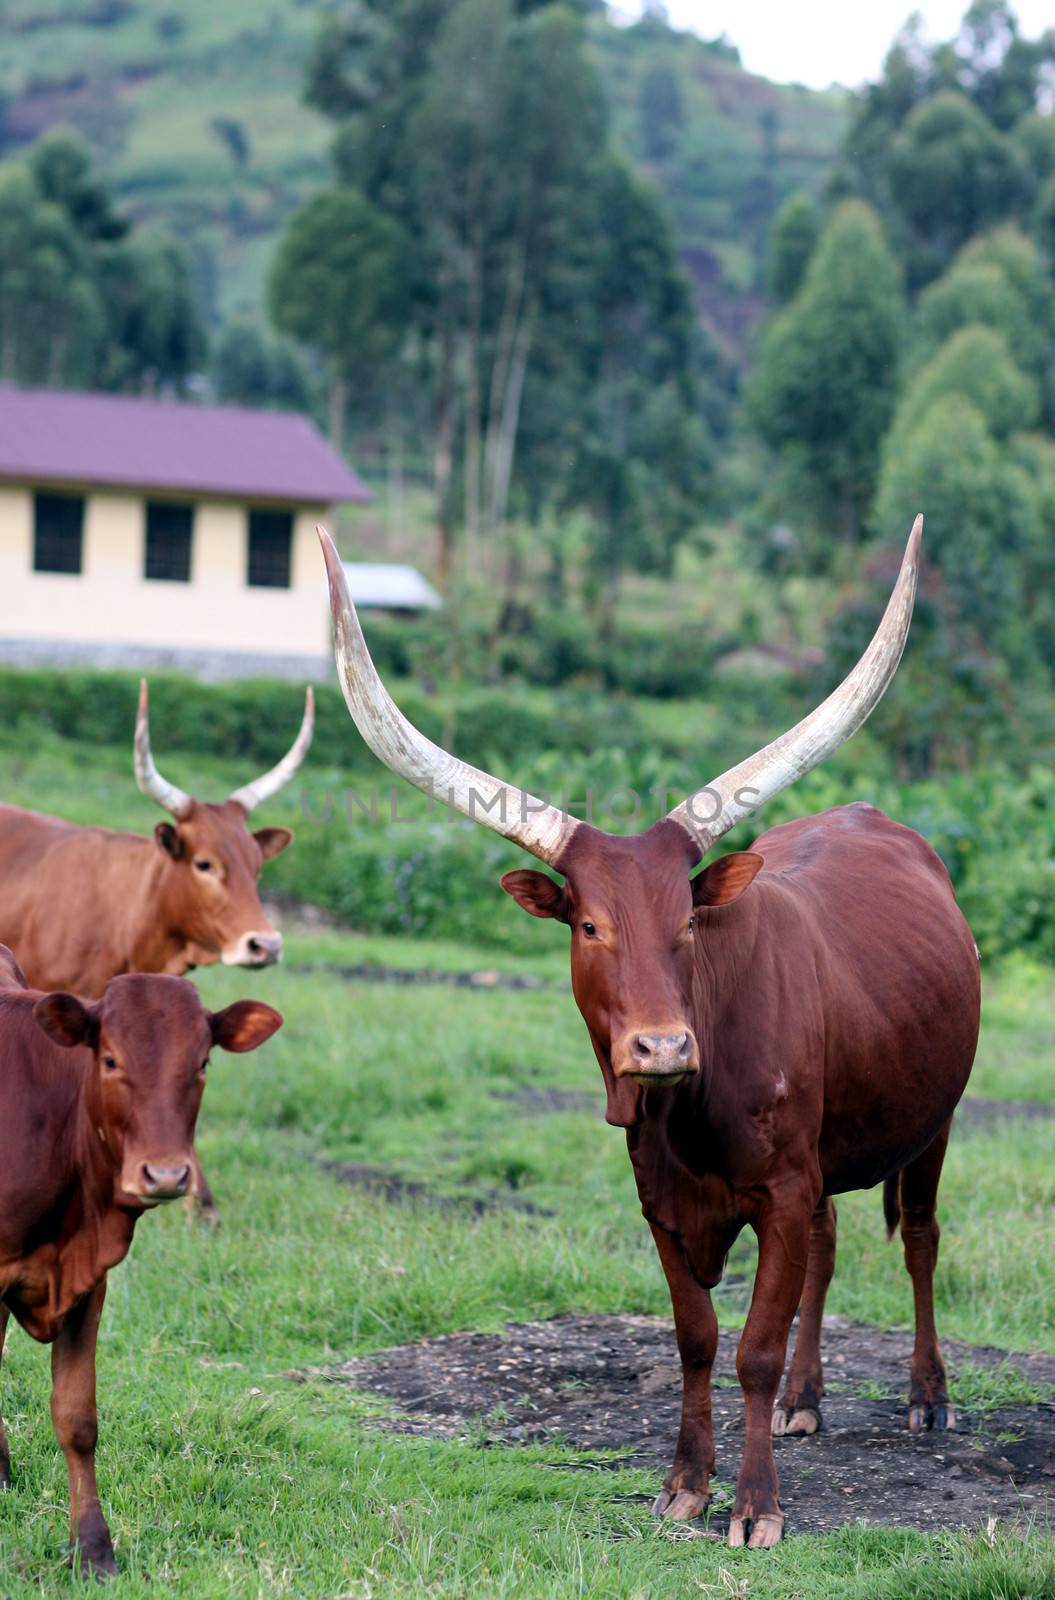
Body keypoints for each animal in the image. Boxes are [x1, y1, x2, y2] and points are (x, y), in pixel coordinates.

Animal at [0, 934, 283, 1574]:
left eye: (202, 1063)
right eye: (110, 1060)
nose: (167, 1174)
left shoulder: (85, 1282)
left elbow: (77, 1417)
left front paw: (93, 1548)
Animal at [320, 521, 979, 1548]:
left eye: (686, 922)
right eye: (590, 925)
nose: (661, 1050)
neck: (684, 1114)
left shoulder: (778, 1190)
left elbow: (751, 1347)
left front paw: (755, 1509)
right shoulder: (661, 1200)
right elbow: (696, 1339)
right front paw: (684, 1487)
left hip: (935, 1121)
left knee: (918, 1236)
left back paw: (925, 1396)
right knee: (832, 1242)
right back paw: (806, 1399)